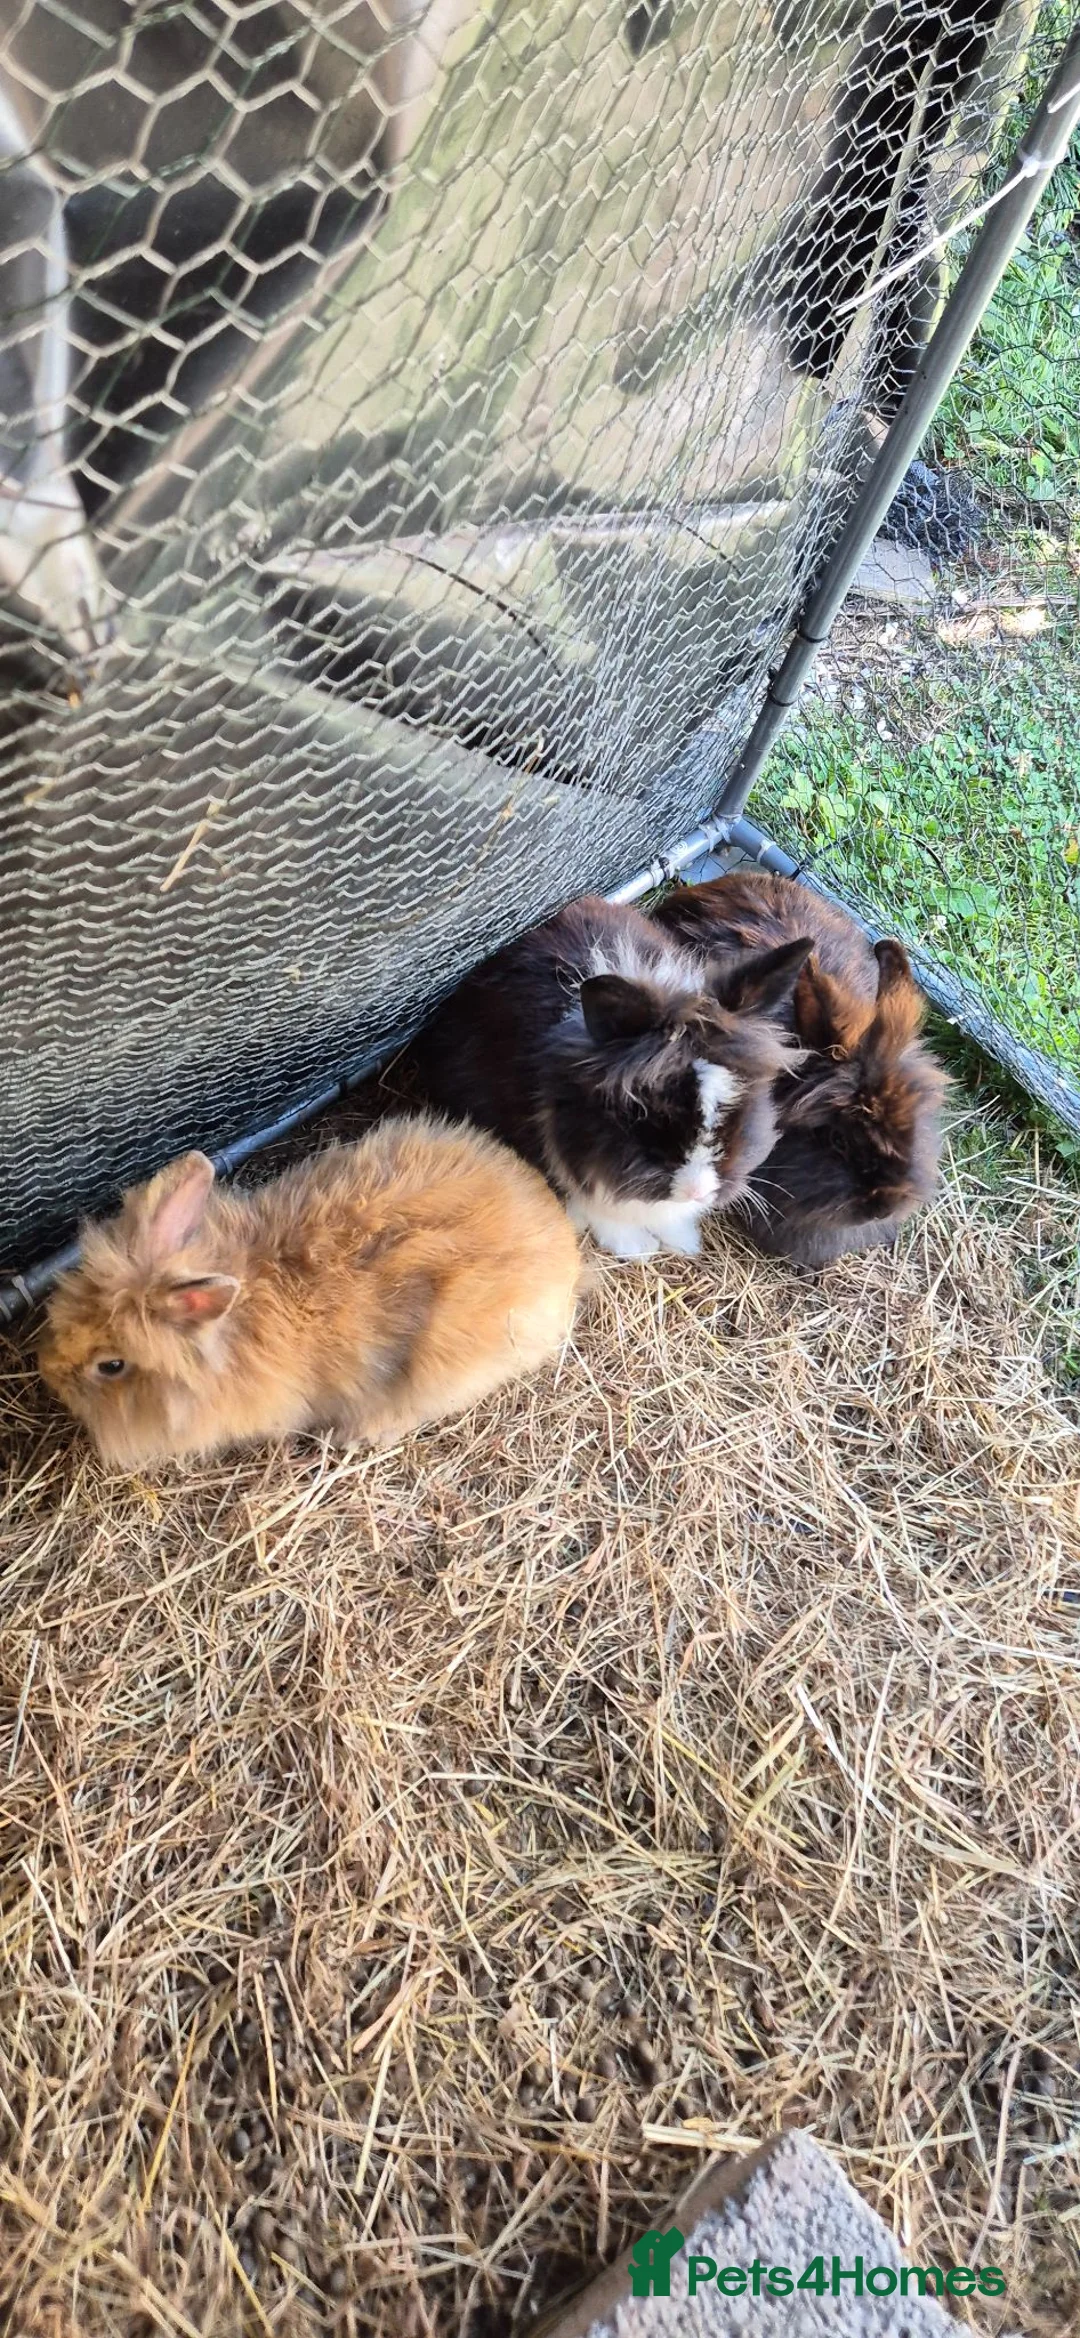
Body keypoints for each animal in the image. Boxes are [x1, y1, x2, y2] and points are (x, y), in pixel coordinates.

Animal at [404, 894, 812, 1259]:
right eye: (647, 1113)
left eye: (743, 1100)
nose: (696, 1191)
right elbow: (598, 1207)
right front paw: (638, 1248)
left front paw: (683, 1241)